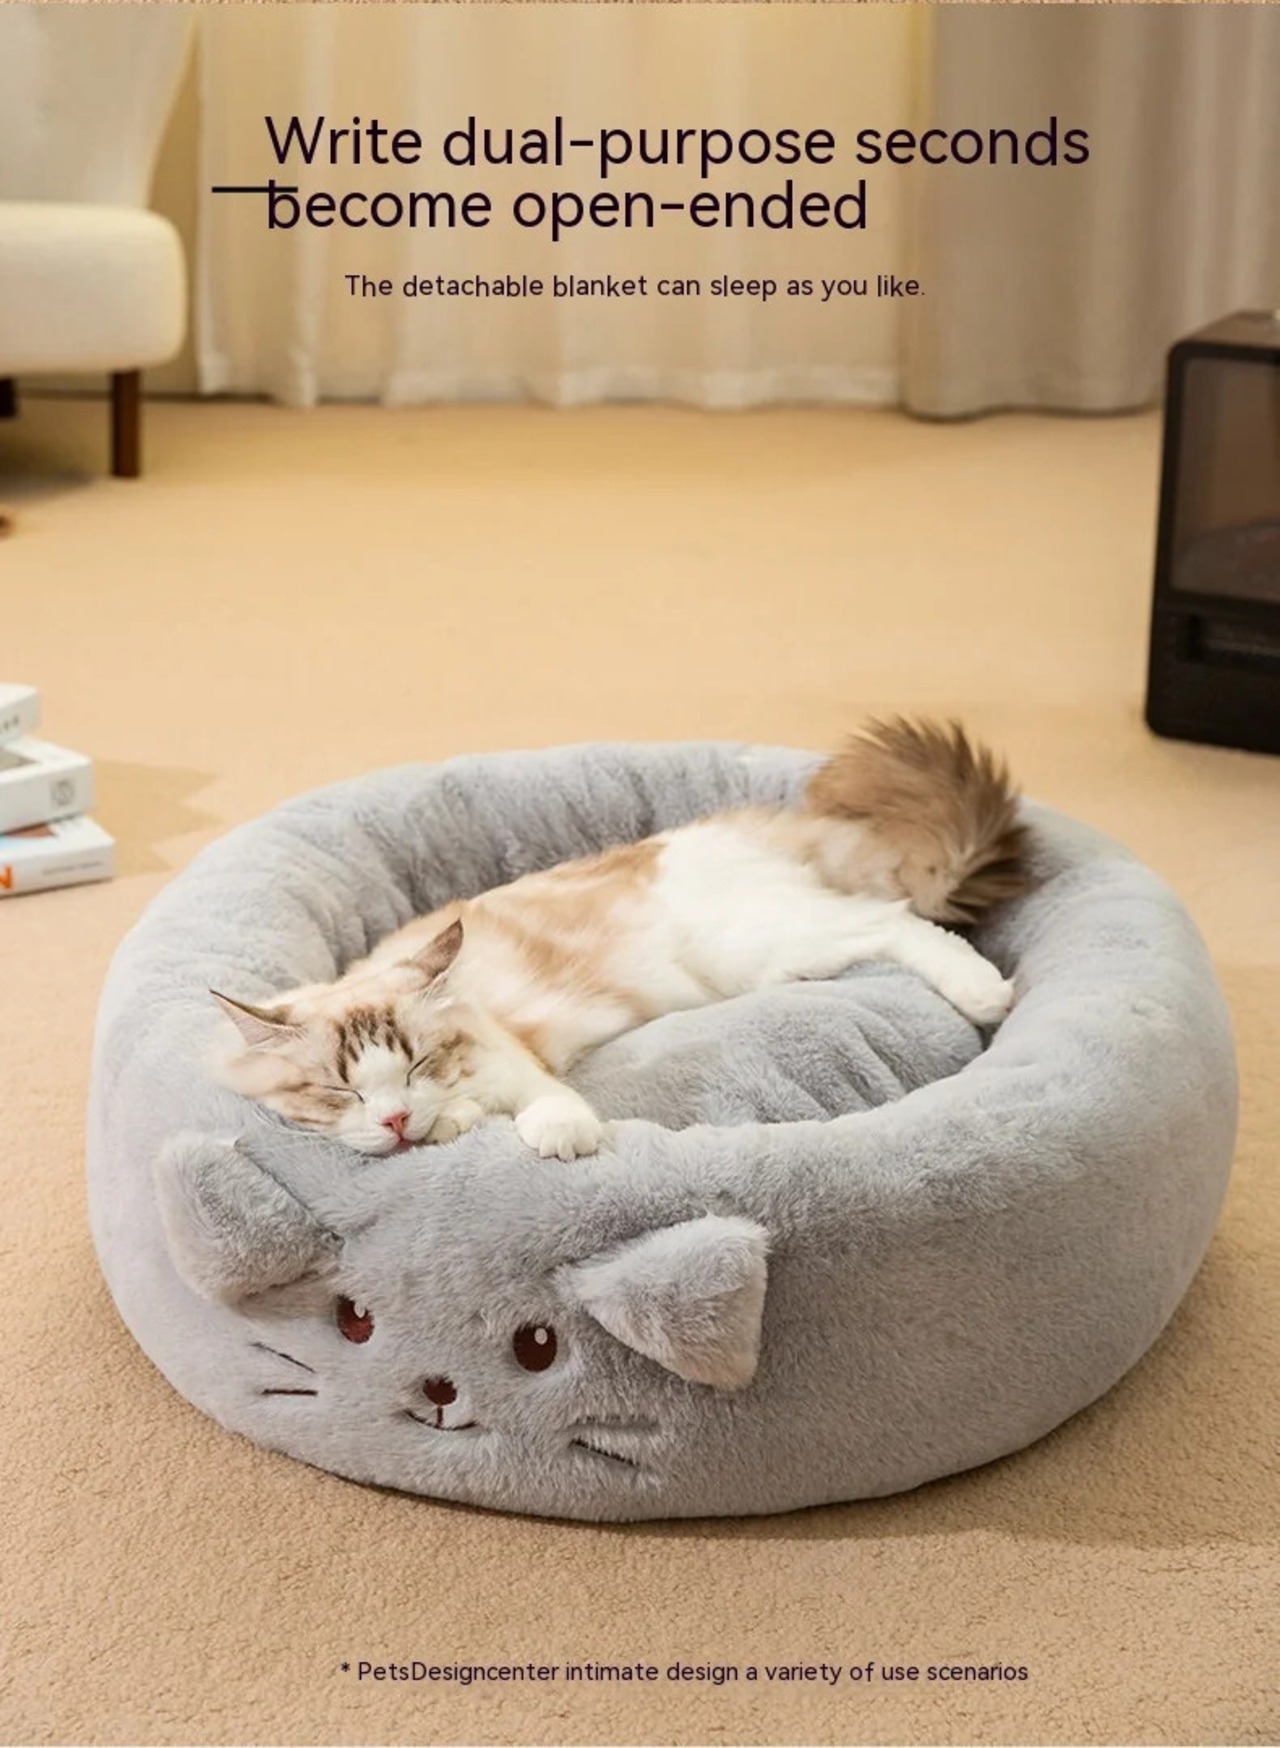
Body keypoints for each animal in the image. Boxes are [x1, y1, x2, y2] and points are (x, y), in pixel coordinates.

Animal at [211, 718, 1028, 1163]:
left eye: (416, 1065)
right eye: (339, 1091)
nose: (393, 1118)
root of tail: (735, 826)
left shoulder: (516, 1061)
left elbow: (545, 1104)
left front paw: (554, 1135)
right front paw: (443, 1126)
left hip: (762, 947)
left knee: (897, 920)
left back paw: (985, 993)